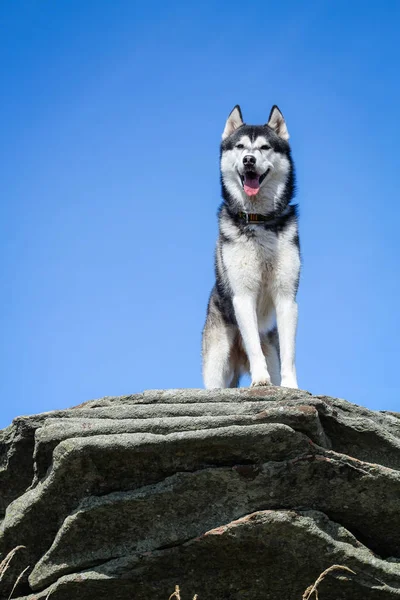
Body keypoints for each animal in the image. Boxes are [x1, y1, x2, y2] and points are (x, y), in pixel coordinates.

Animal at [203, 105, 300, 390]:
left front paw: (292, 386)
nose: (248, 160)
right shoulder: (243, 296)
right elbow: (253, 345)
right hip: (216, 364)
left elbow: (289, 352)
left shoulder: (286, 297)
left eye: (265, 147)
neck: (258, 221)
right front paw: (259, 379)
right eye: (241, 146)